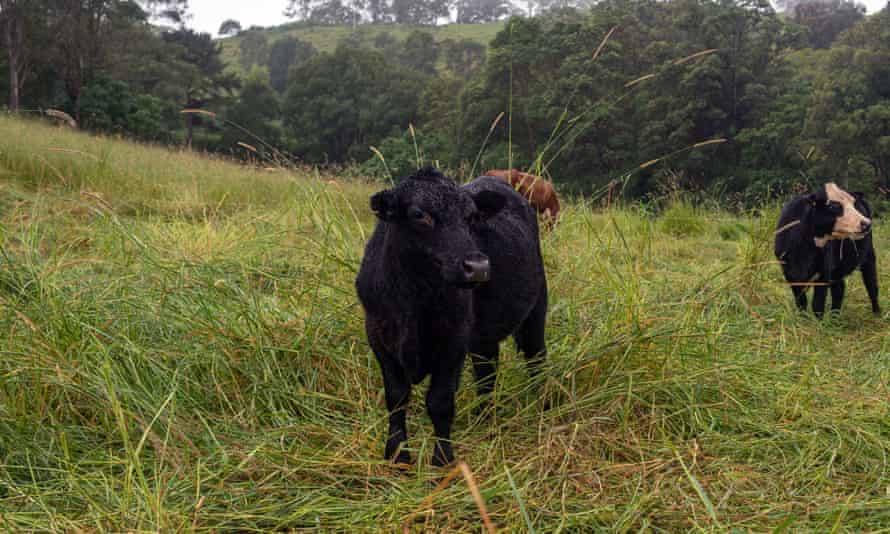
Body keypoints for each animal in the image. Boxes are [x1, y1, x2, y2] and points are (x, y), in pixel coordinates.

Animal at [358, 169, 544, 468]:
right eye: (419, 214)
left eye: (471, 217)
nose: (478, 267)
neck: (414, 301)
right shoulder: (378, 336)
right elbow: (396, 397)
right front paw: (397, 456)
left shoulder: (454, 342)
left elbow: (440, 402)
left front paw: (442, 460)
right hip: (483, 337)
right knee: (486, 373)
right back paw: (485, 418)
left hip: (535, 311)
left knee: (536, 358)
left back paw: (543, 406)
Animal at [772, 184, 876, 318]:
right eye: (833, 206)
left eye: (853, 204)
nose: (866, 223)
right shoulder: (789, 273)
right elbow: (801, 301)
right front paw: (802, 318)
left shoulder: (823, 272)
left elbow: (817, 303)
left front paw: (818, 322)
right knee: (839, 288)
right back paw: (834, 317)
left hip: (869, 256)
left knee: (872, 285)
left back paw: (877, 313)